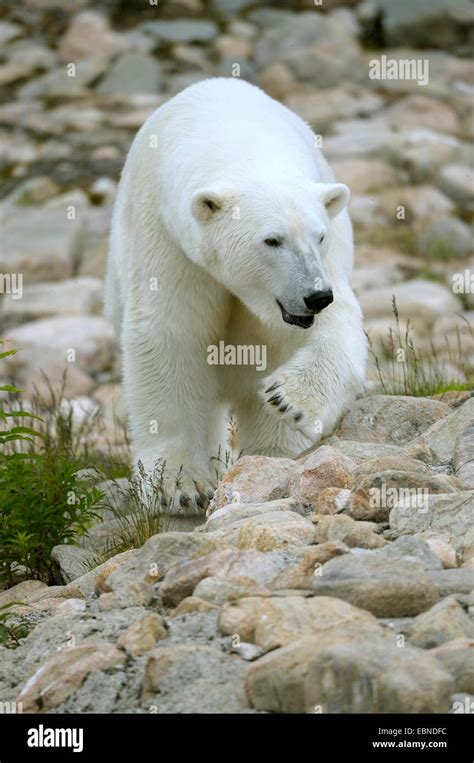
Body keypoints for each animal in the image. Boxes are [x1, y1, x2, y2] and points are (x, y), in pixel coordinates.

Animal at [105, 77, 368, 512]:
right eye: (272, 240)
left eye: (319, 235)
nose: (315, 296)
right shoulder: (166, 237)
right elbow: (170, 334)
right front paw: (179, 485)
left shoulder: (322, 269)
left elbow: (333, 328)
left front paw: (288, 401)